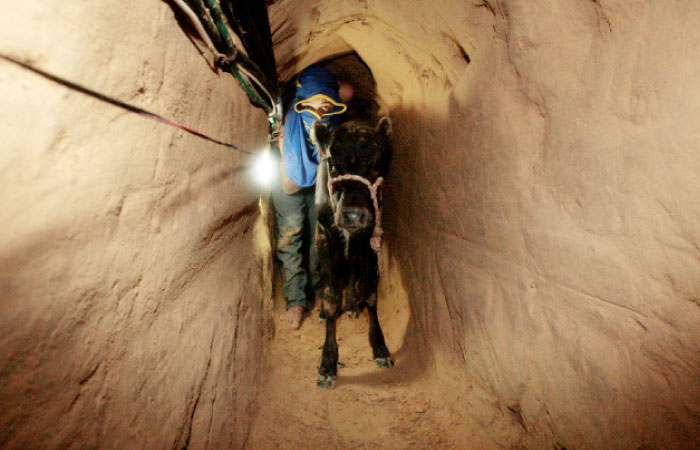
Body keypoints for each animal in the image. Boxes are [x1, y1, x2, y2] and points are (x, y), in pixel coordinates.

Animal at [314, 116, 394, 386]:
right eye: (331, 163)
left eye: (376, 161)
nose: (352, 216)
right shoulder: (323, 236)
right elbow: (330, 297)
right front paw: (328, 363)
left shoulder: (369, 239)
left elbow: (370, 293)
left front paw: (380, 347)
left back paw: (350, 305)